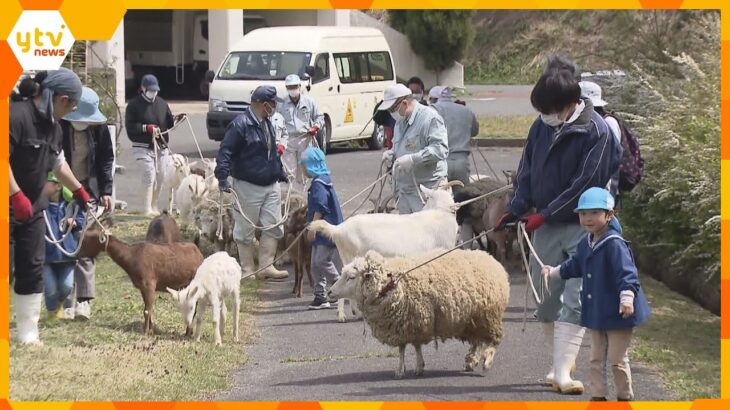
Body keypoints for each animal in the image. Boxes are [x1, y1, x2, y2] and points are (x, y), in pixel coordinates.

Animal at [328, 247, 510, 378]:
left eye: (351, 277)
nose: (329, 292)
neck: (390, 285)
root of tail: (492, 260)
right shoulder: (407, 324)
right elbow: (409, 347)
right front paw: (413, 367)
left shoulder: (409, 321)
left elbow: (407, 348)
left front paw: (405, 369)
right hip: (473, 319)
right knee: (477, 341)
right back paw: (471, 361)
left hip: (489, 316)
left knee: (494, 340)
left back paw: (486, 361)